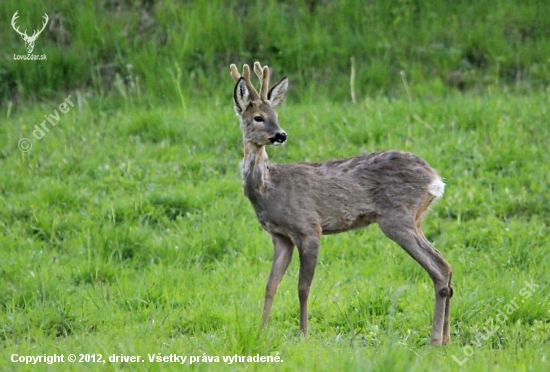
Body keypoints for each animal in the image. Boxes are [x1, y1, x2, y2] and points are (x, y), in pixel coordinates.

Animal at [231, 61, 454, 346]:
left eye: (276, 115)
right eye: (259, 117)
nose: (280, 135)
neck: (269, 189)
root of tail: (435, 179)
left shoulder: (308, 227)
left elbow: (303, 287)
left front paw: (303, 334)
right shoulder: (280, 237)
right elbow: (271, 285)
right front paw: (262, 330)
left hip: (397, 218)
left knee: (439, 268)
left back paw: (435, 339)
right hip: (415, 219)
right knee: (445, 266)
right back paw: (445, 337)